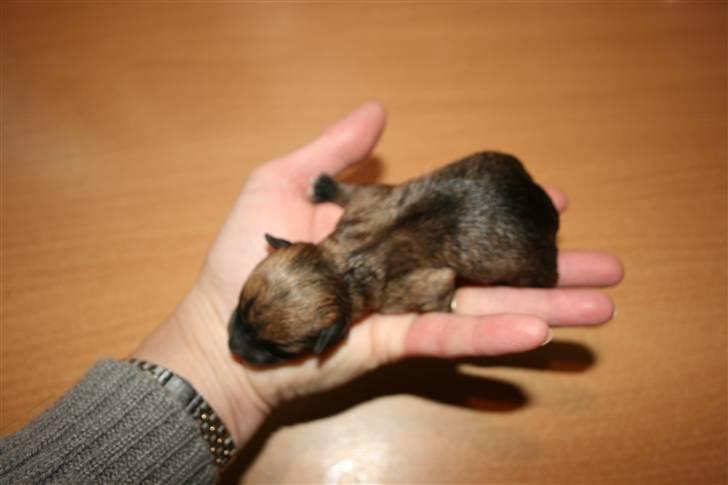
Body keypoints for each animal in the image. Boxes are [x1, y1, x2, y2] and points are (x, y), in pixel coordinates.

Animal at [230, 151, 560, 364]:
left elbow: (441, 285)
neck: (342, 269)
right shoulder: (370, 200)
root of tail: (546, 209)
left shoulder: (410, 288)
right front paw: (327, 186)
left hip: (532, 265)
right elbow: (358, 190)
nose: (232, 346)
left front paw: (443, 312)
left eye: (278, 350)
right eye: (241, 304)